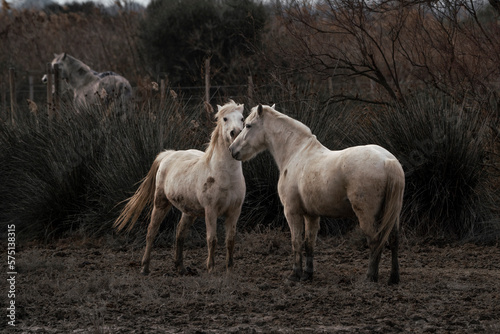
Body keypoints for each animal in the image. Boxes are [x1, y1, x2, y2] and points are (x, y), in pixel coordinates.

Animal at [114, 100, 246, 276]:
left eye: (242, 119)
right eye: (225, 118)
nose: (235, 133)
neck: (225, 175)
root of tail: (169, 154)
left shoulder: (234, 211)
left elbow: (230, 240)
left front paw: (229, 270)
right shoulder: (211, 211)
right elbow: (212, 239)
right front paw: (210, 269)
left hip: (189, 211)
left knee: (180, 233)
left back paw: (180, 267)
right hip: (160, 203)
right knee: (151, 232)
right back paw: (145, 268)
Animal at [229, 104, 404, 284]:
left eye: (248, 125)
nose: (232, 150)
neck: (296, 153)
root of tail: (388, 160)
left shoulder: (292, 212)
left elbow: (296, 242)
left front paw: (294, 275)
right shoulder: (311, 215)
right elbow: (309, 243)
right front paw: (307, 274)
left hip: (367, 215)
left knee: (375, 241)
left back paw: (370, 277)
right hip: (393, 214)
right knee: (394, 240)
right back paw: (393, 278)